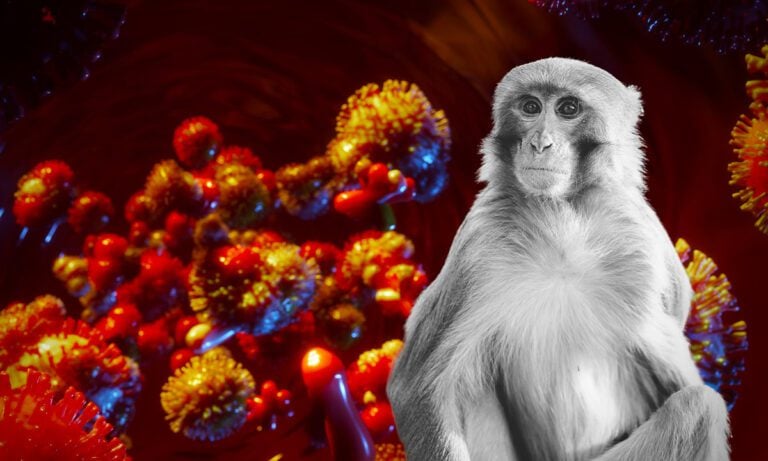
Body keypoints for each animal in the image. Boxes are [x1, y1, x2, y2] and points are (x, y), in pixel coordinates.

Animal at [386, 58, 730, 461]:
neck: (563, 225)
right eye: (530, 107)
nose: (539, 143)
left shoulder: (640, 238)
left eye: (568, 109)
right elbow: (417, 386)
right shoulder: (479, 245)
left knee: (698, 405)